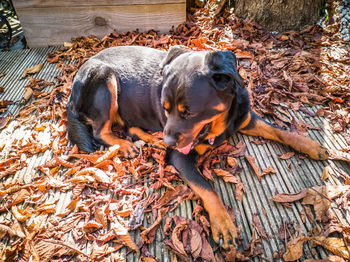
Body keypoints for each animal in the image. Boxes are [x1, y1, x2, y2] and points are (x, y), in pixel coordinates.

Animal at [67, 45, 330, 250]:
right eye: (165, 108)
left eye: (189, 113)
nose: (168, 142)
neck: (221, 123)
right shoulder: (180, 158)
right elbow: (207, 188)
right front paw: (223, 224)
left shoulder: (245, 118)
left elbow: (279, 130)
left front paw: (309, 144)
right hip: (104, 79)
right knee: (101, 132)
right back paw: (125, 145)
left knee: (128, 127)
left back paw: (149, 139)